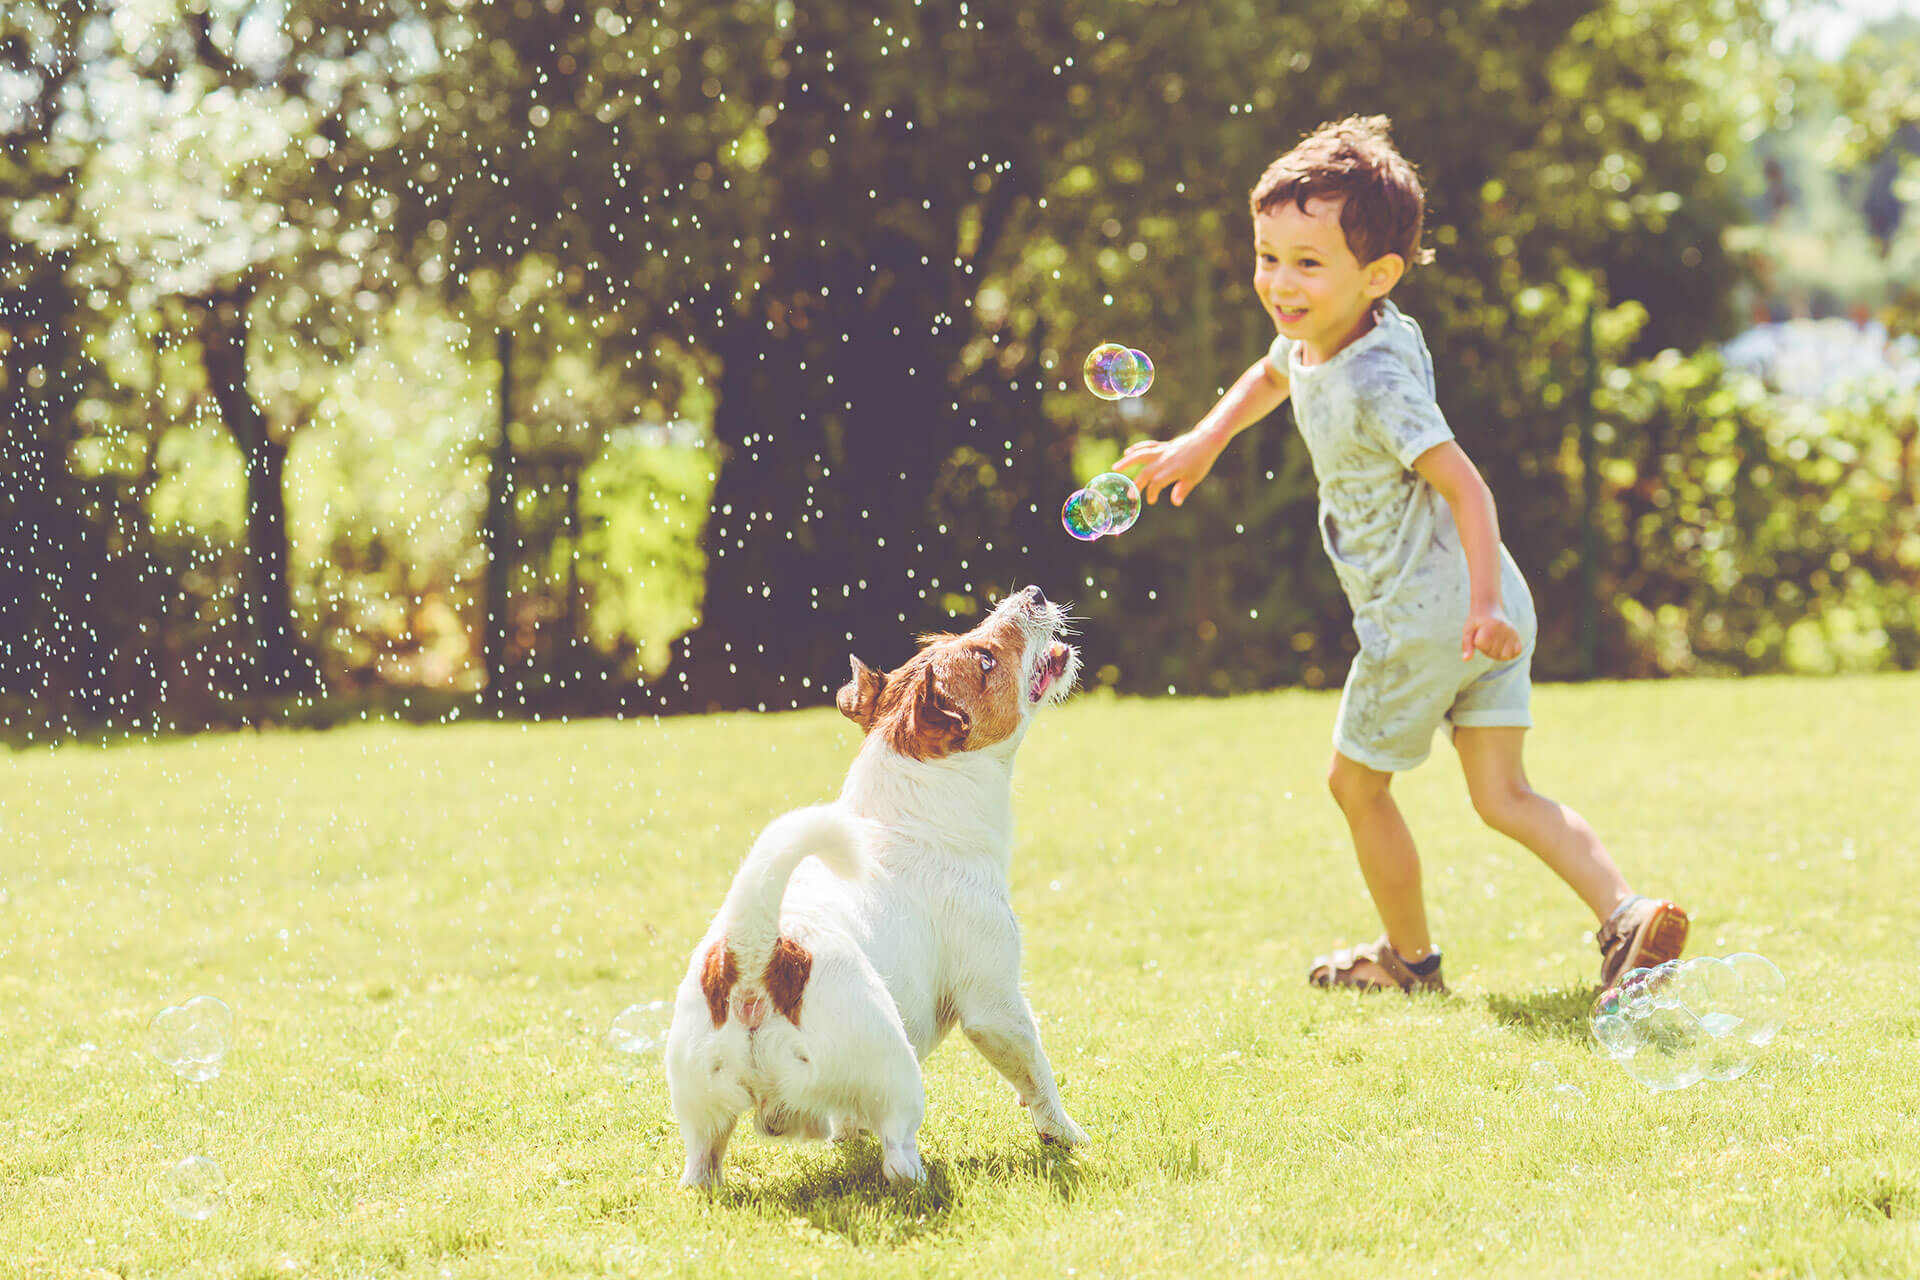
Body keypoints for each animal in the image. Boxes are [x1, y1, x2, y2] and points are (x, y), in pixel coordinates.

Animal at [664, 587, 1090, 1189]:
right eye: (985, 659)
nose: (1034, 593)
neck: (907, 811)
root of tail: (758, 956)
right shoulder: (995, 1003)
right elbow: (1036, 1074)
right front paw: (1066, 1133)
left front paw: (847, 1137)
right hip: (897, 1072)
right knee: (898, 1155)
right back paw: (920, 1178)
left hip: (700, 1106)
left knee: (702, 1163)